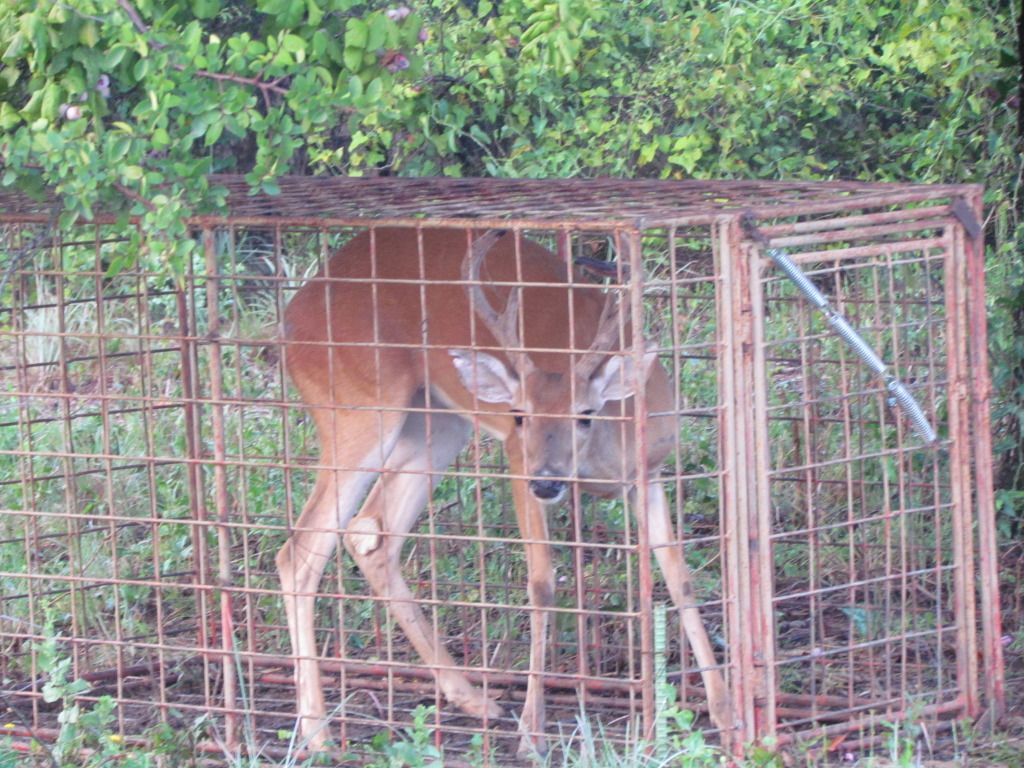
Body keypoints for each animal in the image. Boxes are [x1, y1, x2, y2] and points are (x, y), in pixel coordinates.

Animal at [276, 227, 733, 757]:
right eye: (519, 414)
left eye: (584, 413)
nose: (548, 480)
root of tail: (290, 318)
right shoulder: (518, 463)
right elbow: (541, 584)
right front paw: (532, 733)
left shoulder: (650, 473)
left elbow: (680, 579)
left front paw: (725, 712)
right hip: (357, 407)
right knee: (302, 550)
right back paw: (318, 732)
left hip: (436, 422)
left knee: (370, 534)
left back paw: (472, 697)